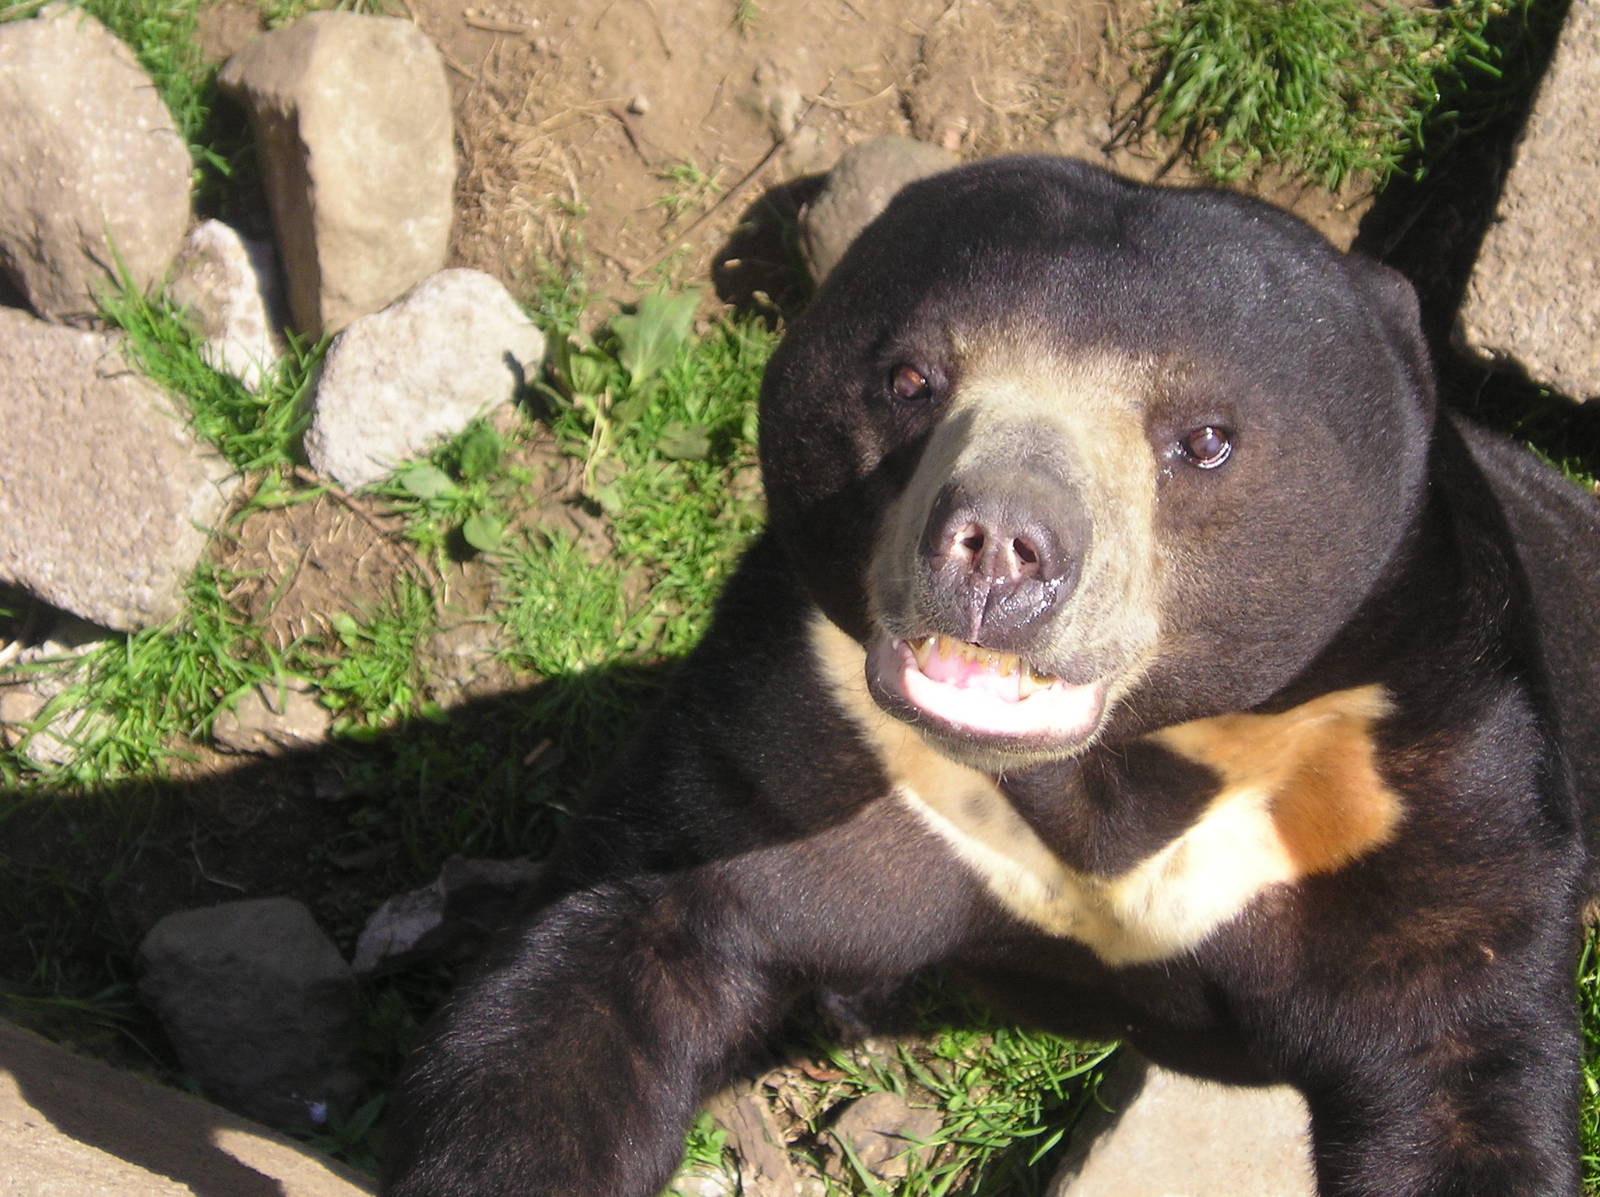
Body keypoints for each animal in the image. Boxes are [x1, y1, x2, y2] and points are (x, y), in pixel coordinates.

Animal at [383, 156, 1600, 1197]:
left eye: (1204, 439)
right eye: (911, 378)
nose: (999, 545)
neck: (1112, 769)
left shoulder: (1405, 784)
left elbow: (1457, 1058)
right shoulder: (806, 717)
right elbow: (617, 953)